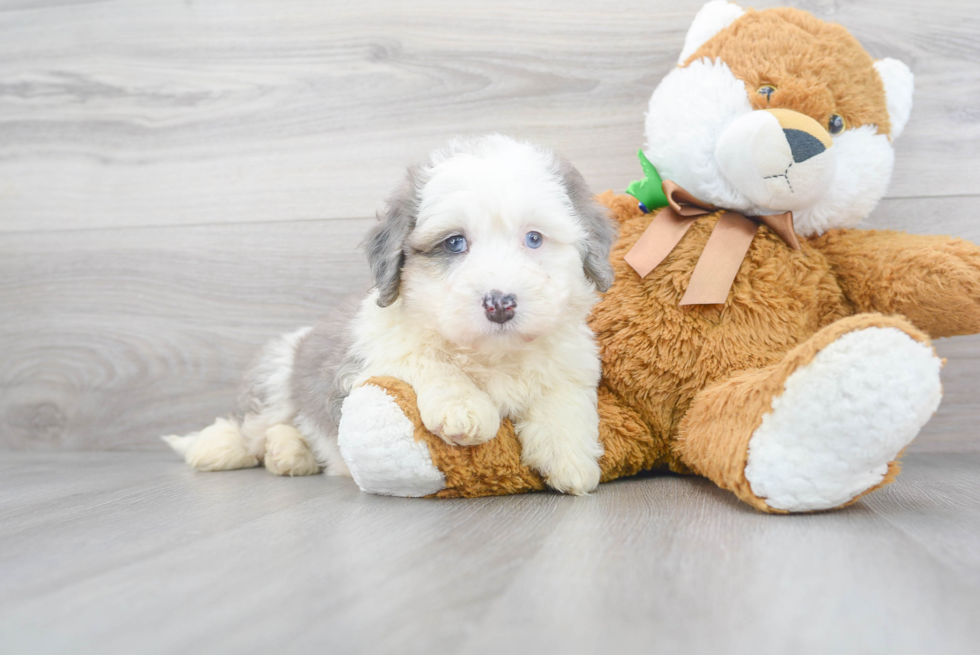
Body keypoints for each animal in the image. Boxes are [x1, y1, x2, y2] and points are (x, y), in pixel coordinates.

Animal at [165, 137, 616, 498]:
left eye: (534, 238)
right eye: (455, 243)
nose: (500, 303)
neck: (492, 355)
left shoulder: (571, 365)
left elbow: (564, 403)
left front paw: (572, 460)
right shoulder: (375, 354)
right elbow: (426, 359)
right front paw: (464, 407)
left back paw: (290, 453)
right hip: (276, 372)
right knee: (250, 426)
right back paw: (219, 448)